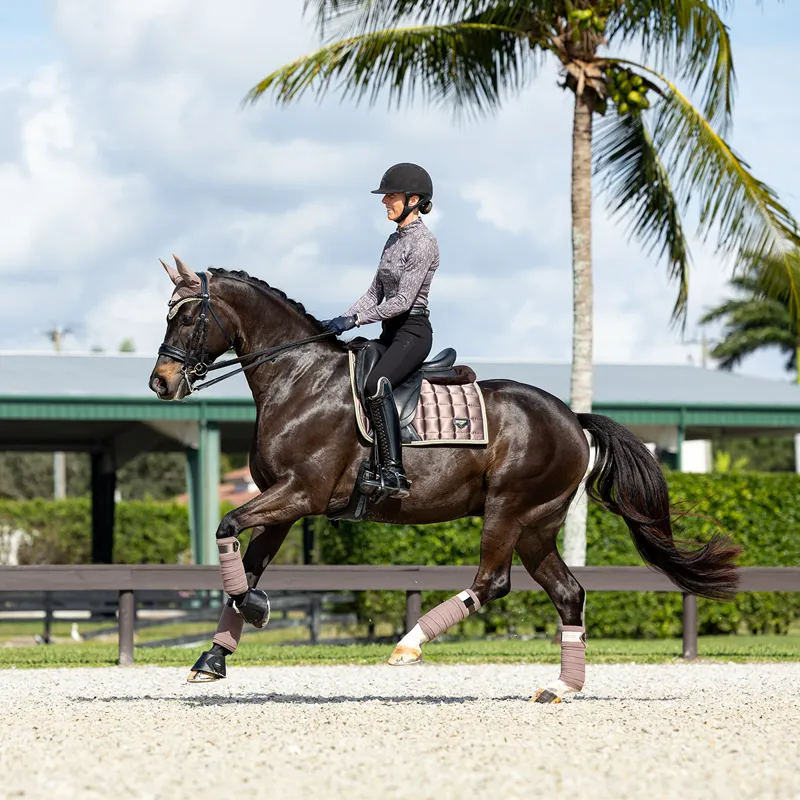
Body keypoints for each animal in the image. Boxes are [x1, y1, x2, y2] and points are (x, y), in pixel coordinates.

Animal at [148, 260, 736, 704]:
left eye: (187, 317)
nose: (161, 383)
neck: (299, 380)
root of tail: (572, 417)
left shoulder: (299, 494)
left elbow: (227, 527)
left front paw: (255, 611)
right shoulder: (284, 505)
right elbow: (244, 565)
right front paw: (214, 655)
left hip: (507, 510)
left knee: (492, 582)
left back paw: (409, 645)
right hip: (537, 527)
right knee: (569, 593)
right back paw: (561, 688)